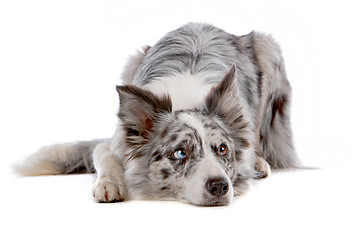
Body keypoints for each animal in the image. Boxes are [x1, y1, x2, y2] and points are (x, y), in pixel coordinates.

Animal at [14, 23, 300, 205]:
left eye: (222, 150)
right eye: (181, 153)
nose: (220, 186)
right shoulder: (117, 140)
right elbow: (103, 155)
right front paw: (109, 184)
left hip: (268, 47)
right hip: (132, 61)